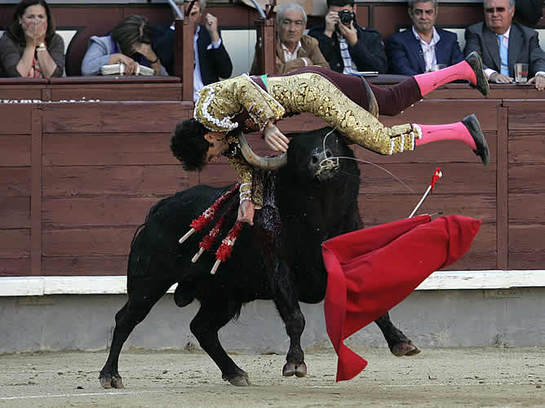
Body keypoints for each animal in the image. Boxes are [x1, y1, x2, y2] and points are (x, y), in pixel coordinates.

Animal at [100, 128, 418, 388]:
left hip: (223, 296)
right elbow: (295, 317)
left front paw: (402, 343)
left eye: (335, 141)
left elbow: (377, 308)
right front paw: (294, 363)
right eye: (296, 150)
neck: (320, 222)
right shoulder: (278, 270)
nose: (322, 158)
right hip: (150, 283)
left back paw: (235, 373)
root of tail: (158, 209)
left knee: (202, 328)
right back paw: (110, 375)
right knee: (126, 318)